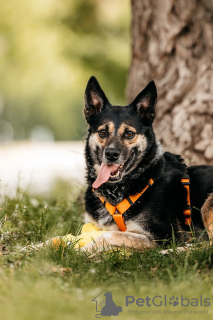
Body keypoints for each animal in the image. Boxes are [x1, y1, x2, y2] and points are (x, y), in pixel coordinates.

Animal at [82, 75, 213, 252]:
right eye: (103, 132)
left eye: (129, 134)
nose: (111, 154)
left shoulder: (162, 236)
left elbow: (110, 235)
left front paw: (77, 251)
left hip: (207, 205)